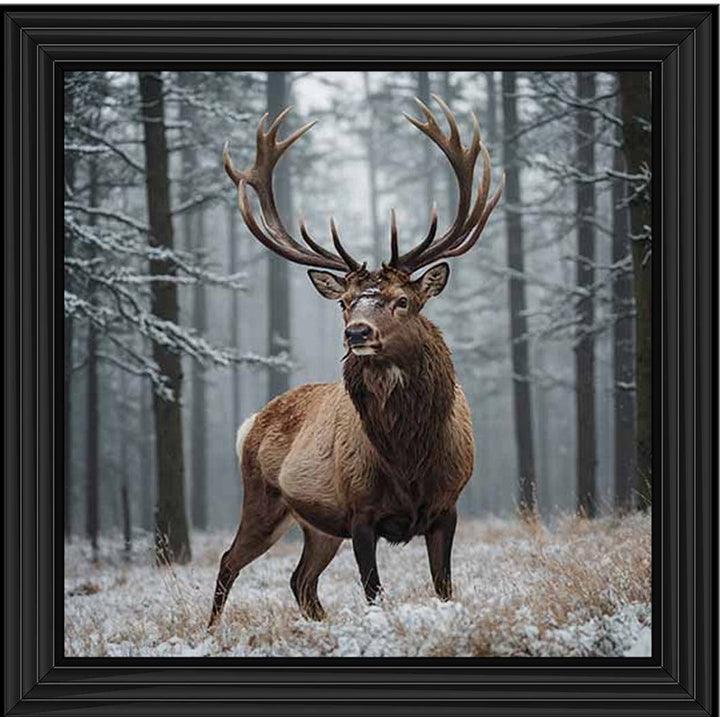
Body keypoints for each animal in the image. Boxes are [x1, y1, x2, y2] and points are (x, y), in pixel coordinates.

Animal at [208, 95, 503, 627]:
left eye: (403, 301)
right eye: (345, 303)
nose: (357, 333)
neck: (409, 459)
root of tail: (251, 422)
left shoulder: (448, 507)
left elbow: (444, 587)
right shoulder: (360, 512)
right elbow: (373, 592)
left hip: (318, 527)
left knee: (300, 580)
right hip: (264, 500)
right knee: (229, 560)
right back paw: (212, 631)